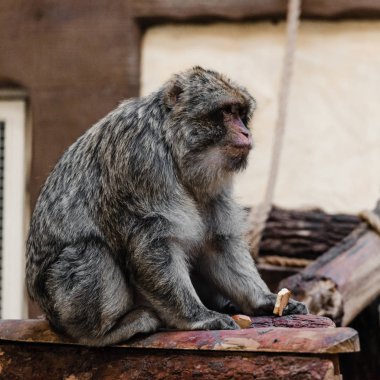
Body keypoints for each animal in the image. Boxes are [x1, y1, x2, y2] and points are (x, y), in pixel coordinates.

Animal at [26, 67, 306, 346]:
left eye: (240, 114)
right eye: (227, 111)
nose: (246, 133)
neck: (172, 145)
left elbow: (217, 242)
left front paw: (264, 300)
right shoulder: (141, 160)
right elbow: (152, 243)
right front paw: (198, 316)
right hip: (63, 304)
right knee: (90, 250)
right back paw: (102, 333)